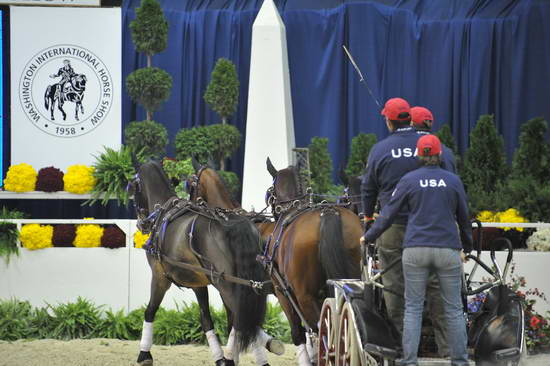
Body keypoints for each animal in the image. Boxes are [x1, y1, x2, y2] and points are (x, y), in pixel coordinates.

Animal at [129, 162, 268, 364]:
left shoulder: (159, 277)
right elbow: (206, 320)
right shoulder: (198, 284)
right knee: (245, 319)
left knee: (243, 317)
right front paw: (220, 358)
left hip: (227, 286)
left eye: (133, 190)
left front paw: (144, 354)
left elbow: (150, 311)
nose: (142, 224)